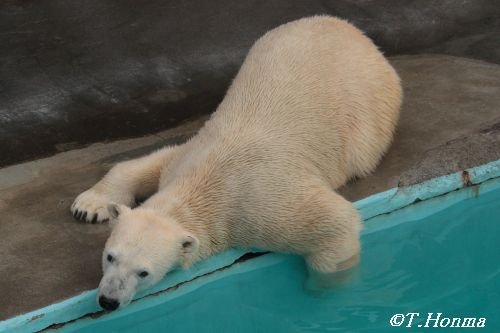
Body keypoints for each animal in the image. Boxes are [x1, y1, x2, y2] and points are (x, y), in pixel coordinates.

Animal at [71, 16, 402, 310]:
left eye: (143, 272)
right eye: (110, 256)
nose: (109, 301)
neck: (207, 183)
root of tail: (359, 35)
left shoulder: (259, 209)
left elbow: (335, 223)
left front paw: (322, 293)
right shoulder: (190, 155)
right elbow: (148, 161)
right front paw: (89, 206)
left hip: (368, 110)